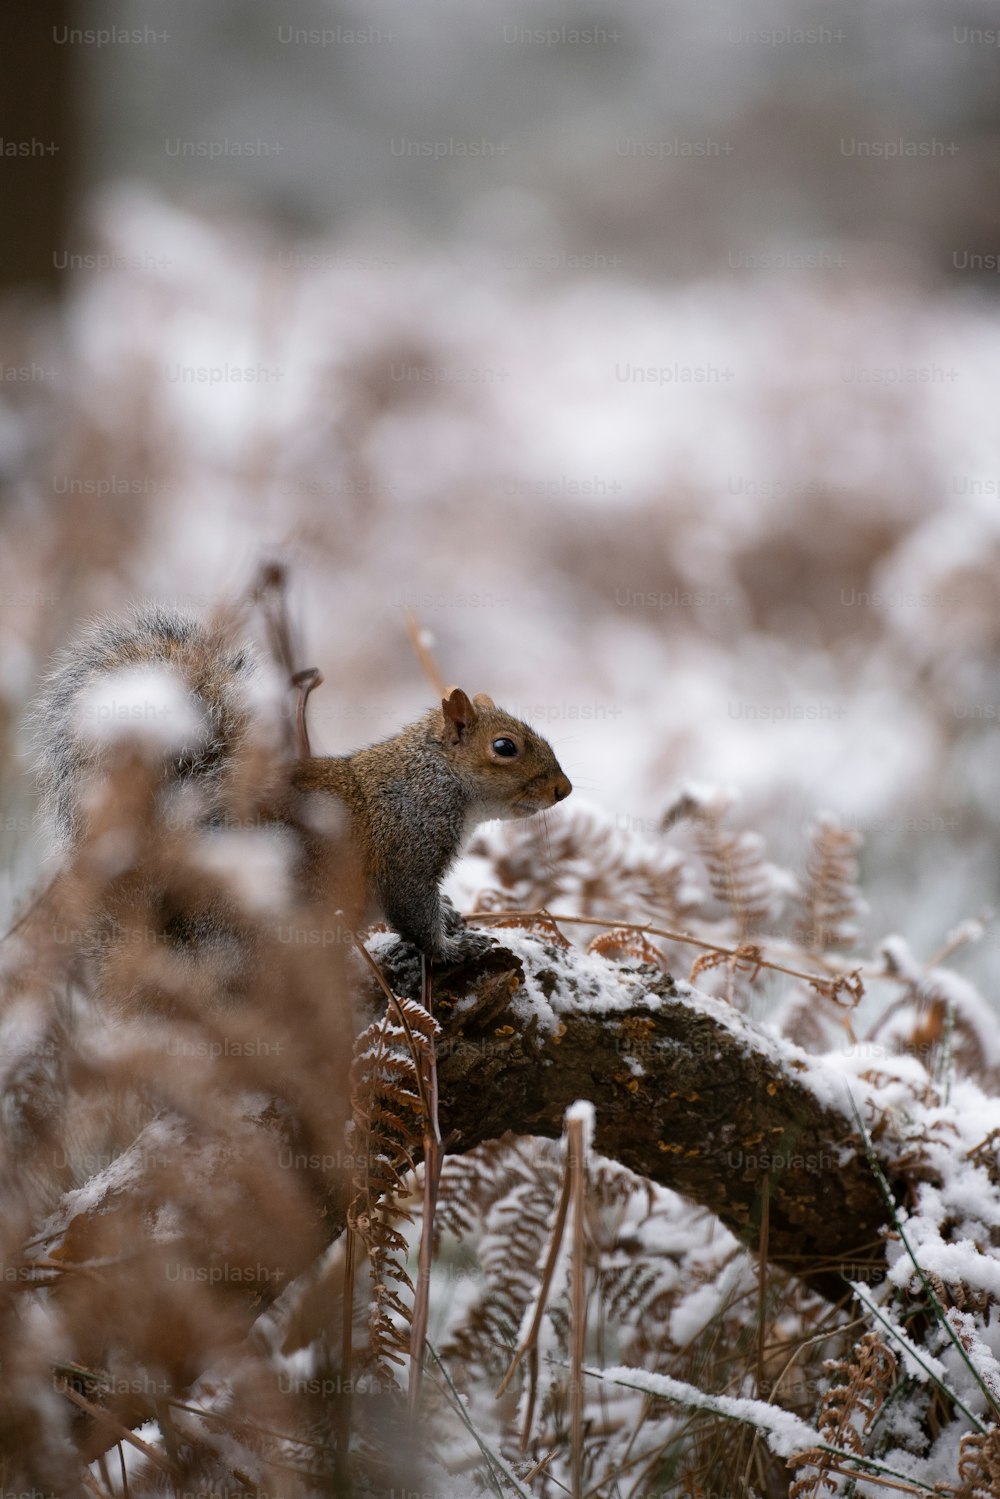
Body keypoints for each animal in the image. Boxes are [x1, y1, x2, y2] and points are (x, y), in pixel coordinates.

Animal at [37, 605, 569, 959]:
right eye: (505, 747)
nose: (563, 790)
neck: (430, 778)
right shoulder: (406, 849)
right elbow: (412, 911)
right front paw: (453, 947)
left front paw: (454, 915)